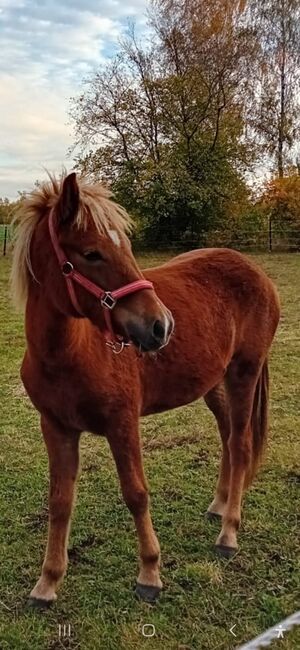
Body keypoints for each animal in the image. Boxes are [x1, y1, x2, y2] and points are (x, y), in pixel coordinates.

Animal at [10, 170, 280, 604]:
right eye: (91, 253)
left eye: (126, 246)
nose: (160, 326)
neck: (69, 354)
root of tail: (256, 272)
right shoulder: (56, 428)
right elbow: (60, 501)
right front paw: (48, 582)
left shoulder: (123, 424)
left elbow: (136, 493)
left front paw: (150, 573)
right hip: (214, 384)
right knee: (227, 437)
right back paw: (219, 505)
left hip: (245, 373)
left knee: (240, 445)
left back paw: (228, 533)